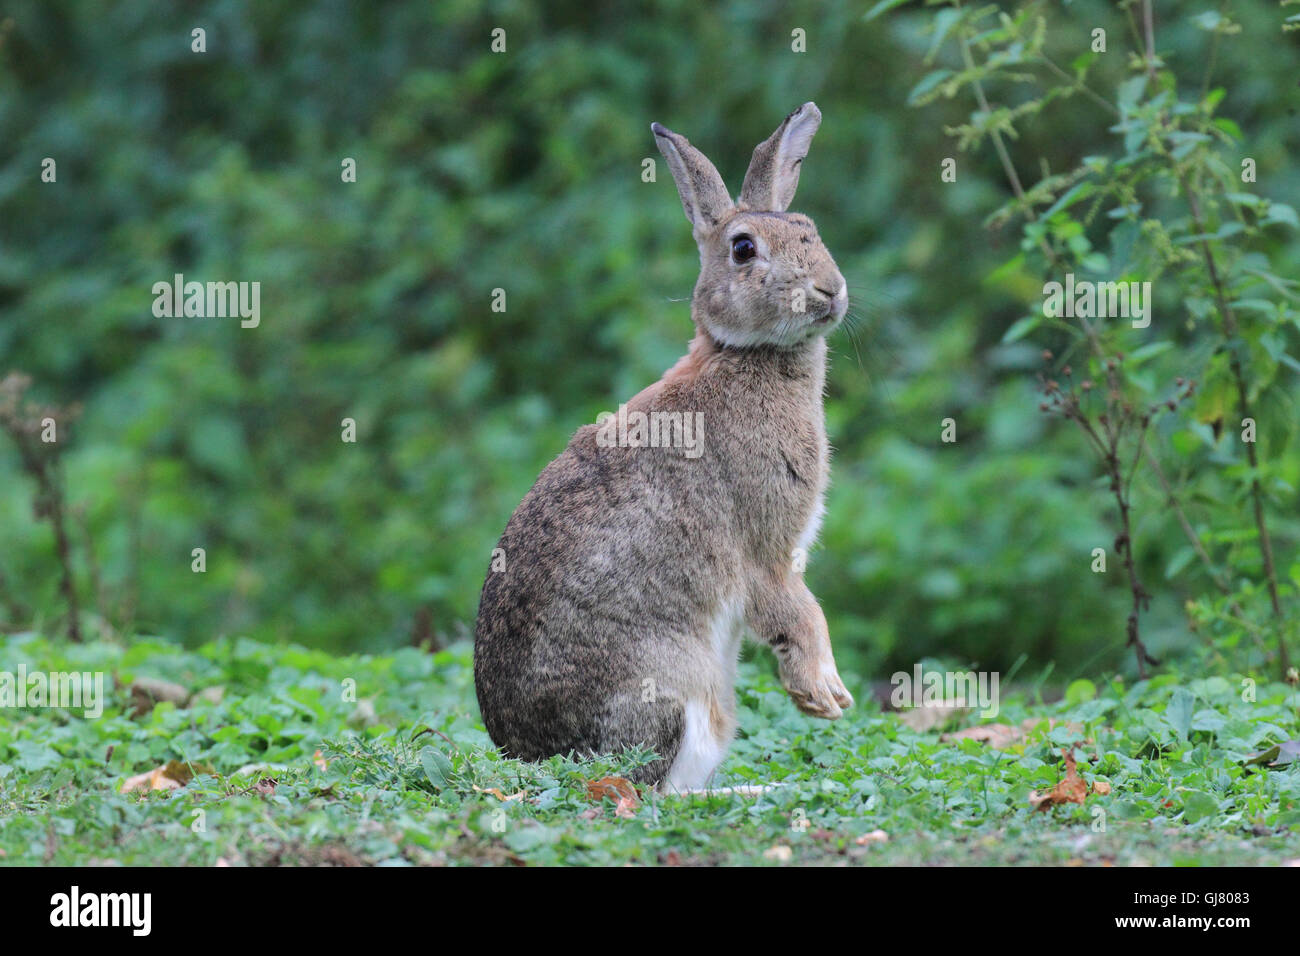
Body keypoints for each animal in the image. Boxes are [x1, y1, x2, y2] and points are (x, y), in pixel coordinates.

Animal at [475, 102, 852, 790]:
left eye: (809, 230)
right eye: (743, 248)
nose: (829, 290)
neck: (742, 354)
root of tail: (530, 752)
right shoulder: (765, 549)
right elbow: (797, 612)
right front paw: (825, 696)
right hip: (677, 689)